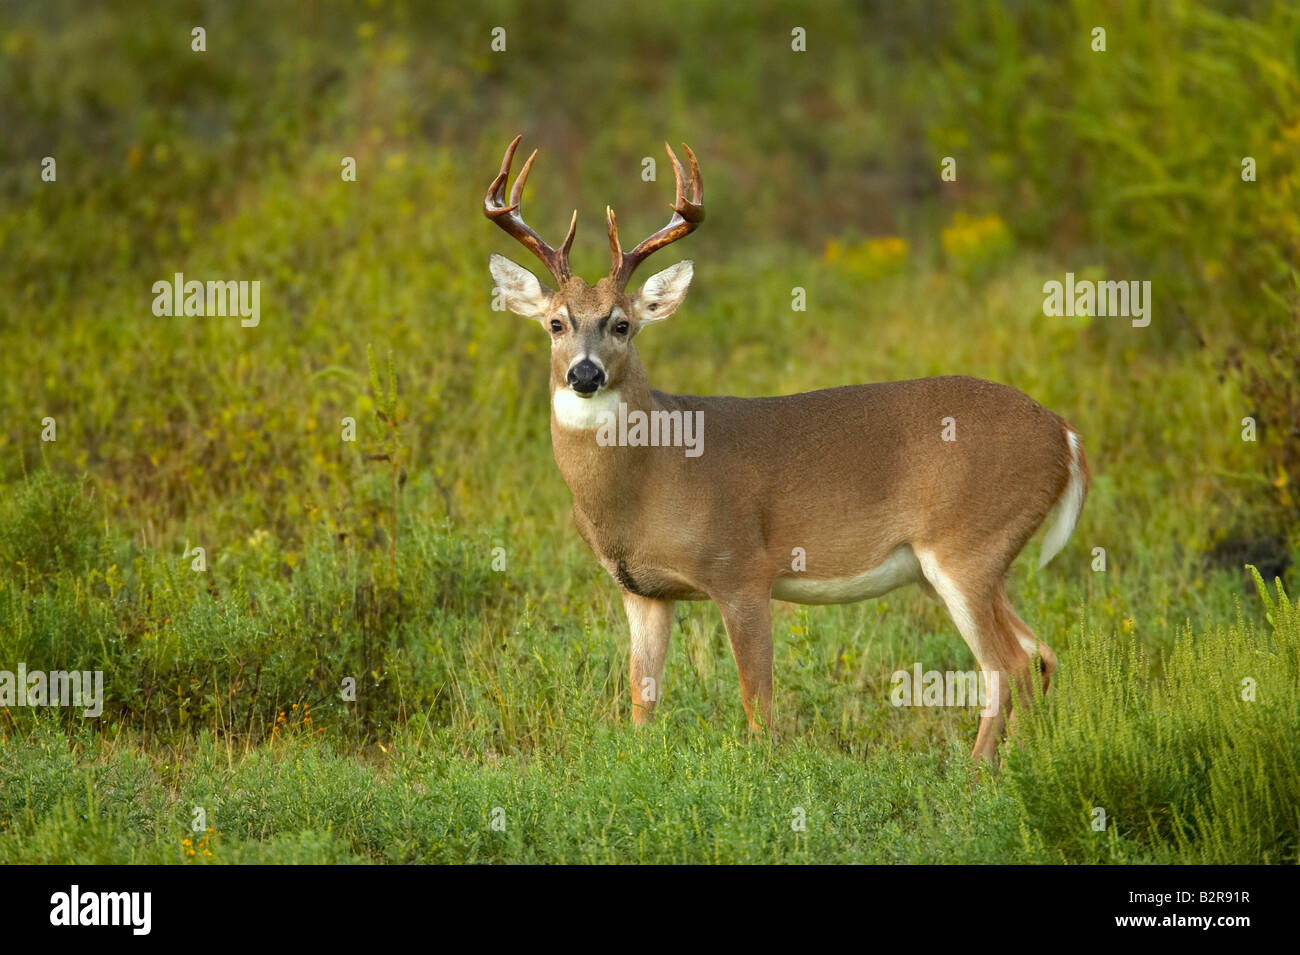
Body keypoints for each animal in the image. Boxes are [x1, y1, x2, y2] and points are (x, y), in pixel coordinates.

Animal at [486, 136, 1086, 764]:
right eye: (556, 323)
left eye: (622, 324)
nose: (585, 373)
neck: (649, 477)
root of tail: (1064, 434)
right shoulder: (641, 590)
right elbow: (641, 701)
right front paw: (640, 765)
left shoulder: (742, 569)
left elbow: (758, 705)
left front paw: (760, 773)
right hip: (967, 563)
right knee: (1041, 655)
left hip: (967, 545)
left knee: (1008, 666)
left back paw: (978, 774)